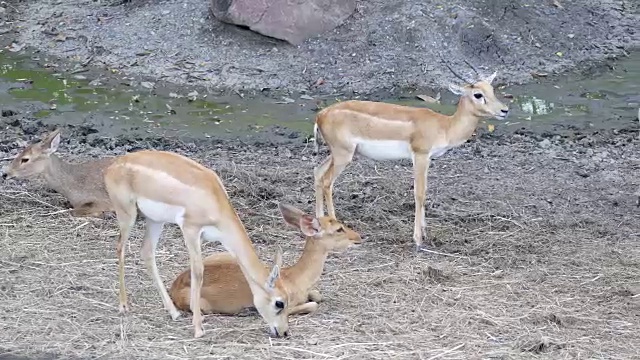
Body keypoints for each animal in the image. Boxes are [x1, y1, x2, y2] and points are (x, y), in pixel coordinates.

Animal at [104, 148, 292, 338]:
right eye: (279, 303)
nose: (284, 332)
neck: (214, 199)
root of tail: (113, 165)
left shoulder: (201, 237)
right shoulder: (190, 229)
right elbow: (198, 272)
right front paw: (198, 329)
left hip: (155, 220)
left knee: (147, 252)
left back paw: (173, 312)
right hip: (127, 214)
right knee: (120, 247)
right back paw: (123, 306)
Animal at [168, 202, 362, 318]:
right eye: (339, 229)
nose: (358, 237)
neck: (295, 279)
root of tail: (174, 288)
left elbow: (317, 296)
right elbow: (311, 304)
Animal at [312, 64, 508, 250]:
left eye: (491, 89)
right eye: (478, 94)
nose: (504, 110)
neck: (444, 126)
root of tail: (320, 115)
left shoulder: (428, 159)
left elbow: (425, 192)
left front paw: (425, 233)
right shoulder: (420, 155)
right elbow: (419, 193)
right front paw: (418, 240)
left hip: (338, 154)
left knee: (318, 173)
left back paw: (319, 221)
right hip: (343, 155)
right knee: (327, 181)